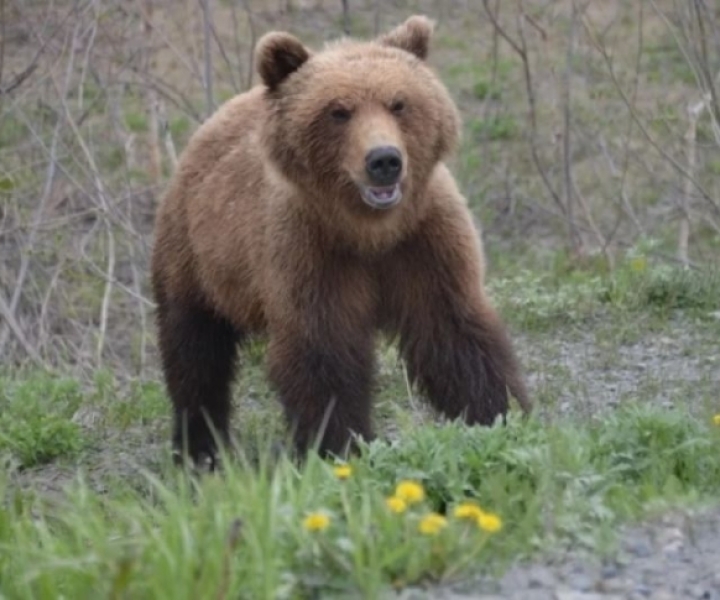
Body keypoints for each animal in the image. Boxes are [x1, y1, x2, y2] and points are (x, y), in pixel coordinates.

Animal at [150, 11, 528, 466]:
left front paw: (499, 414)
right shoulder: (310, 253)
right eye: (338, 111)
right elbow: (323, 355)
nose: (384, 160)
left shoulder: (424, 242)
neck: (369, 232)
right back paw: (200, 449)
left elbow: (455, 332)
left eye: (399, 103)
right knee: (194, 351)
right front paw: (341, 447)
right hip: (197, 255)